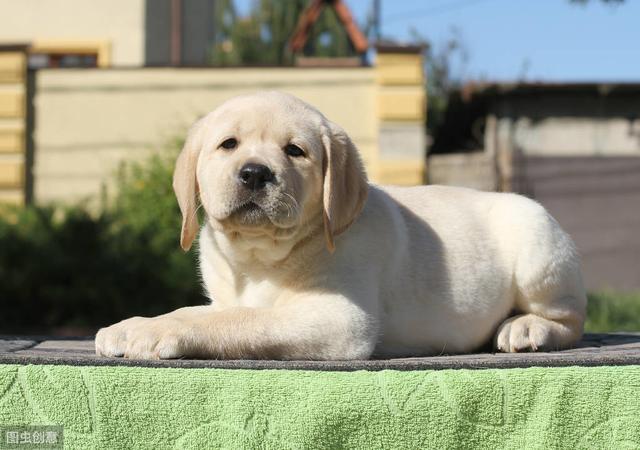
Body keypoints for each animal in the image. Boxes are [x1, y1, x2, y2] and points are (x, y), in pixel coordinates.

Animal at [94, 90, 584, 358]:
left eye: (295, 151)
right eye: (227, 145)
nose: (254, 173)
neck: (258, 257)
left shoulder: (339, 318)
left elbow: (236, 321)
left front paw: (155, 330)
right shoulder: (225, 297)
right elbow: (211, 312)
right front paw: (134, 324)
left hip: (538, 249)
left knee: (571, 318)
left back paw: (525, 327)